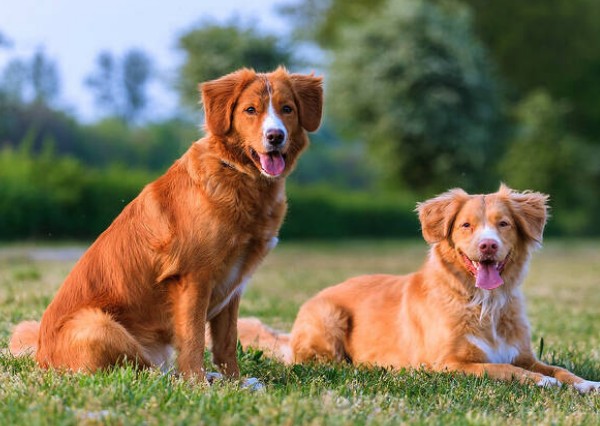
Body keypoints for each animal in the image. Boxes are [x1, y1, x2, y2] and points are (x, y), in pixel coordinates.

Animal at [8, 67, 324, 382]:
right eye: (250, 110)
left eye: (287, 109)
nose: (275, 136)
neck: (237, 175)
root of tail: (40, 356)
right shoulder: (193, 279)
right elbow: (194, 340)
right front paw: (198, 383)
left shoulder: (234, 287)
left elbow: (226, 342)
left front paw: (236, 382)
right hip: (99, 325)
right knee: (144, 371)